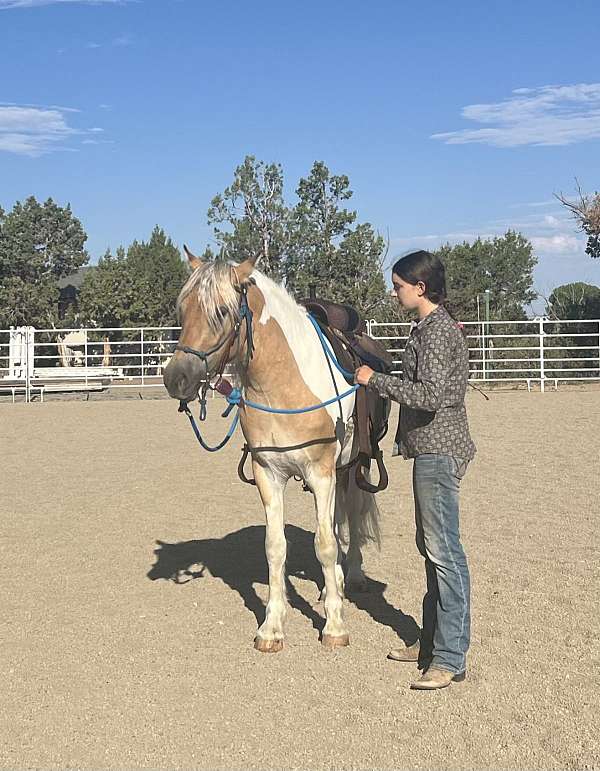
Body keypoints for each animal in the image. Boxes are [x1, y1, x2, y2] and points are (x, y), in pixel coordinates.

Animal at [162, 250, 382, 656]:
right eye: (182, 310)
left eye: (221, 311)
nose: (176, 378)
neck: (283, 385)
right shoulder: (268, 473)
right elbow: (276, 547)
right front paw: (272, 627)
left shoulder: (321, 472)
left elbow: (325, 544)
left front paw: (334, 626)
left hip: (354, 466)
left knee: (352, 516)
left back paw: (354, 575)